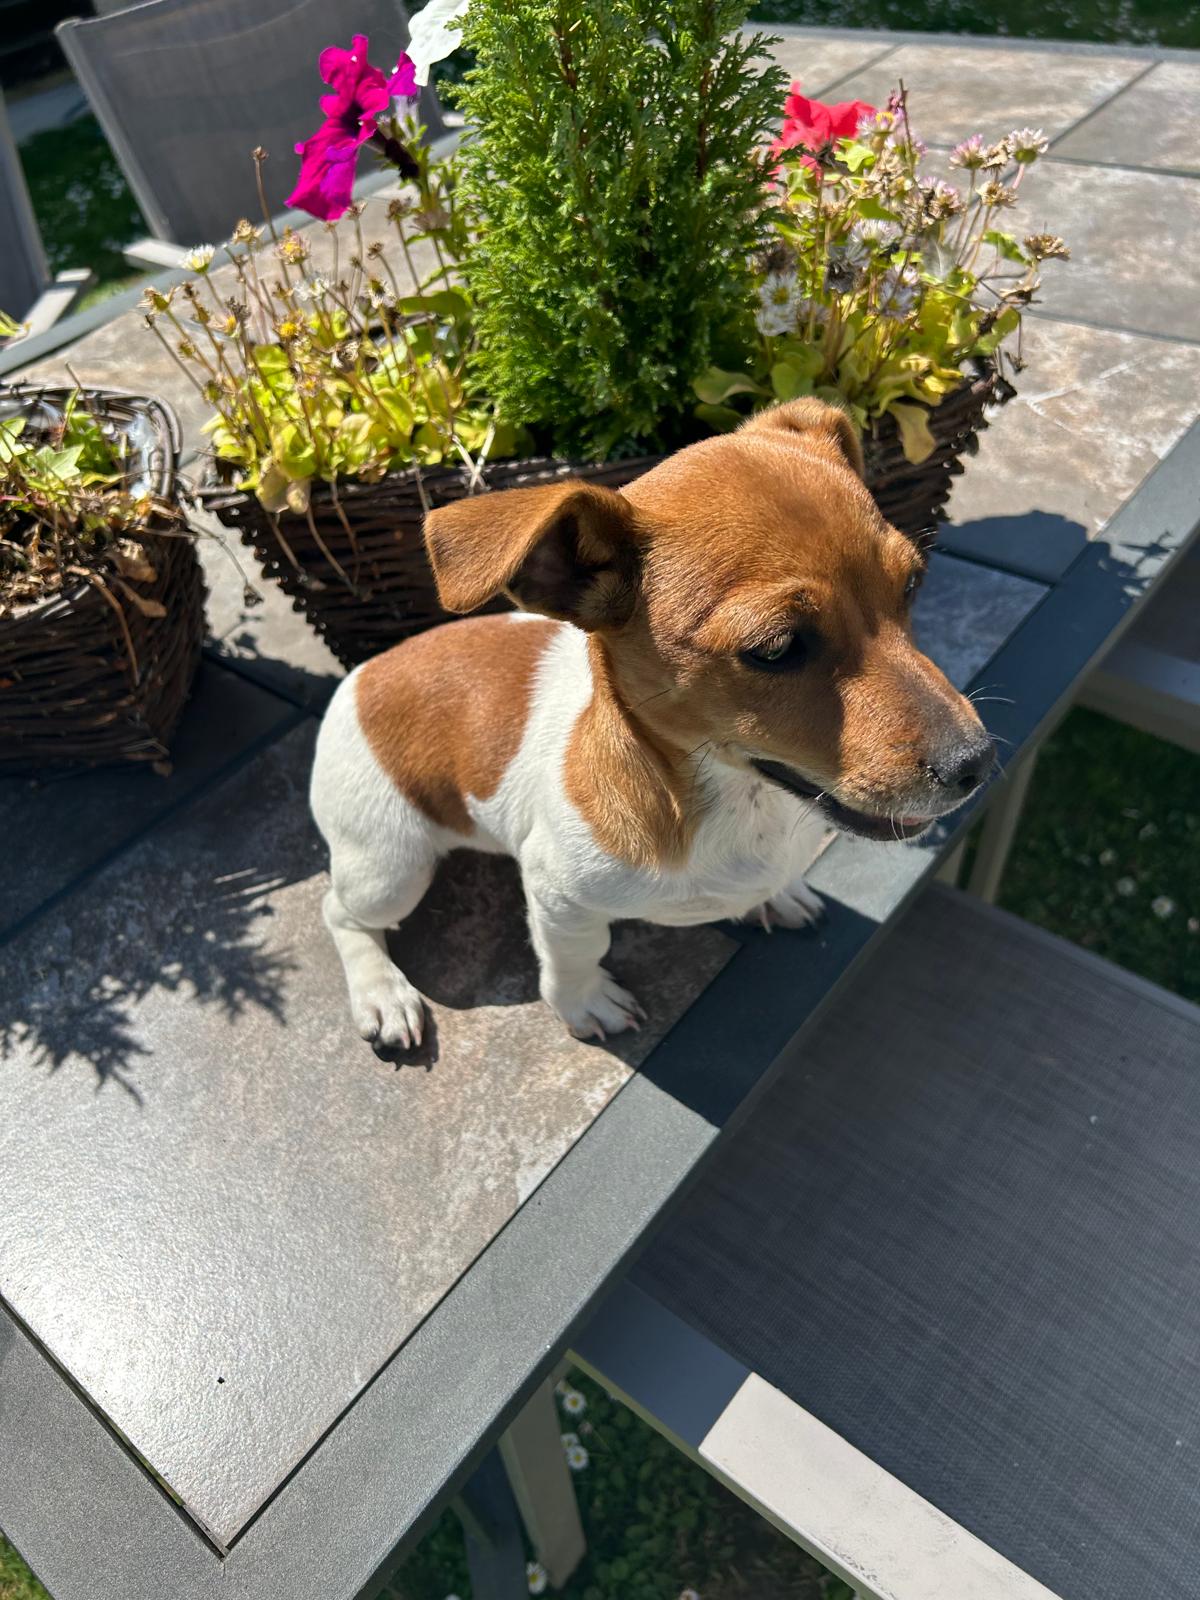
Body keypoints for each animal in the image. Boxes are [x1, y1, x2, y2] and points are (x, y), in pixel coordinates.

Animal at [310, 399, 993, 1047]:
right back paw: (382, 994)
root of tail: (362, 674)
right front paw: (585, 1003)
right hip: (390, 867)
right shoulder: (557, 896)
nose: (977, 763)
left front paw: (777, 896)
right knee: (339, 912)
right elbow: (575, 957)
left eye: (912, 583)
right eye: (774, 648)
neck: (734, 803)